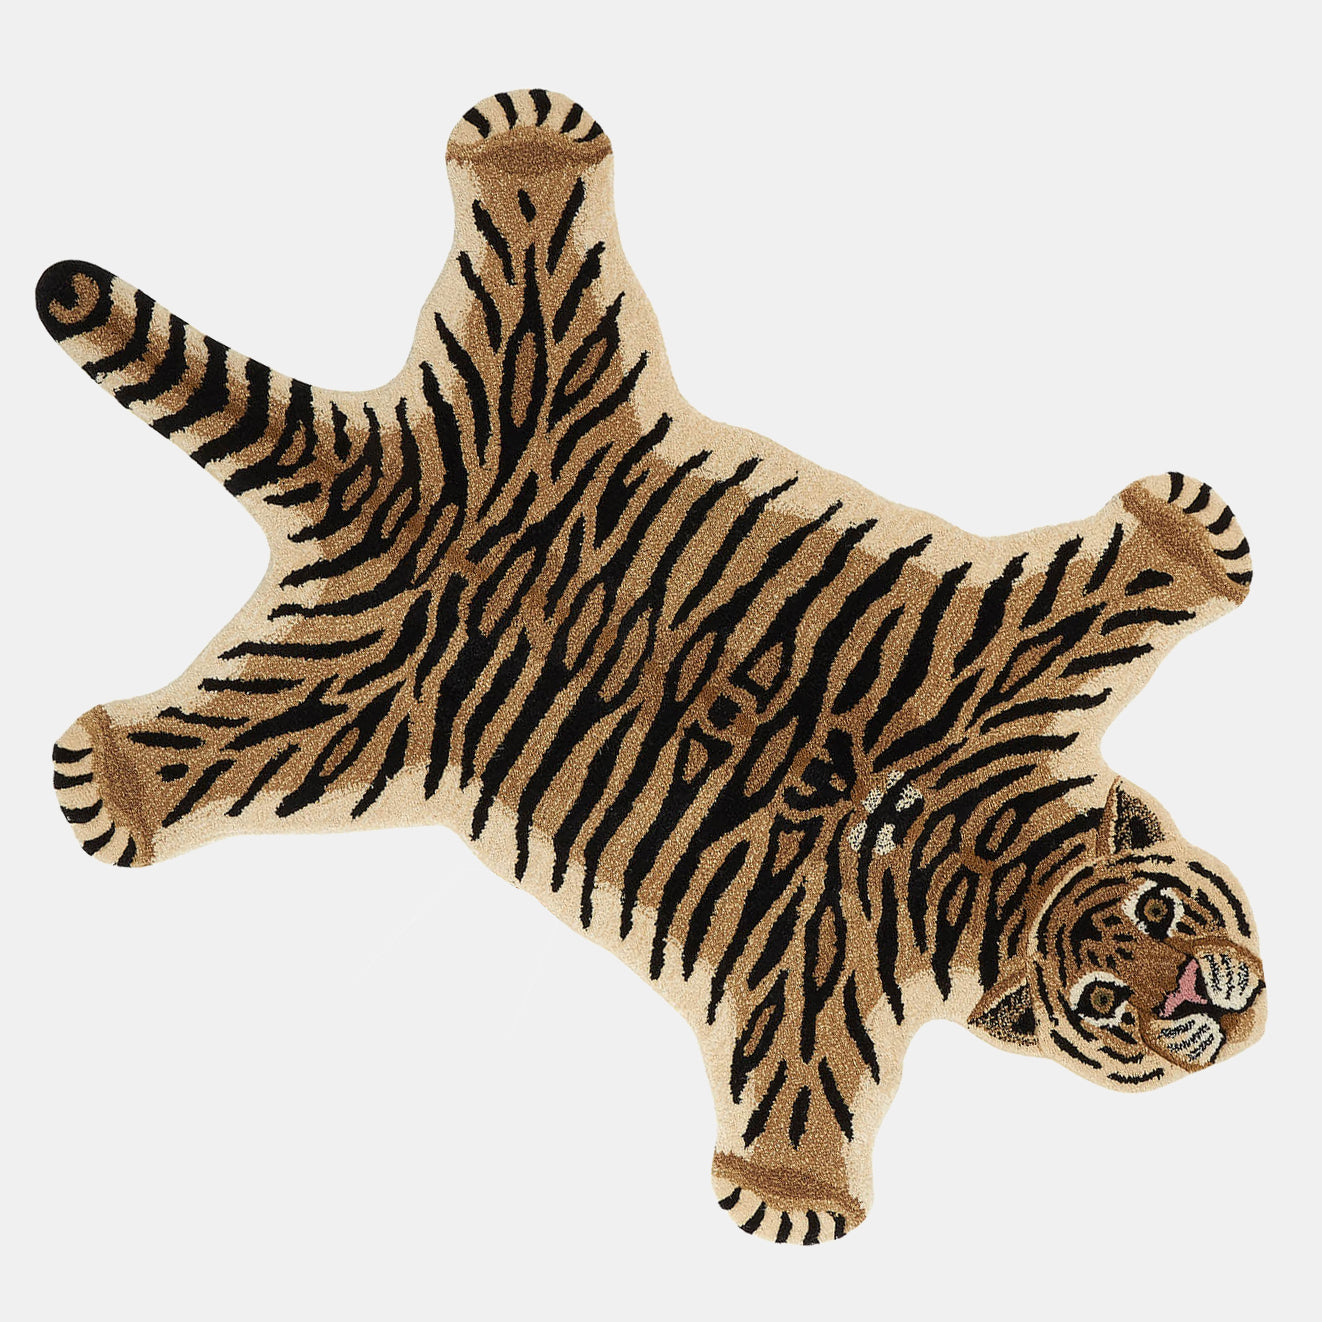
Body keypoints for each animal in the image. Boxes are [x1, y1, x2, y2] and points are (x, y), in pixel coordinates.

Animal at [38, 88, 1265, 1245]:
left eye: (1162, 910)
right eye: (1103, 1000)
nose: (1196, 996)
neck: (982, 857)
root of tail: (392, 482)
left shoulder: (1011, 663)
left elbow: (1126, 579)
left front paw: (1187, 537)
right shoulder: (817, 976)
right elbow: (805, 1094)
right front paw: (793, 1190)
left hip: (545, 376)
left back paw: (526, 154)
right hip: (348, 694)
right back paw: (118, 776)